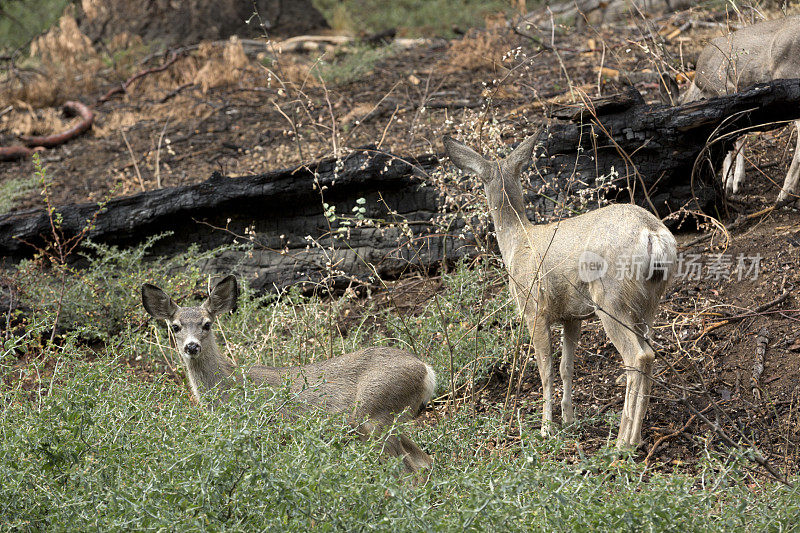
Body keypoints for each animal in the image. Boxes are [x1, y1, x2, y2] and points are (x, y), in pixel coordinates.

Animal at [141, 276, 434, 472]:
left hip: (376, 416)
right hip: (392, 420)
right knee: (425, 462)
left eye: (207, 324)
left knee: (411, 472)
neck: (229, 384)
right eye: (175, 326)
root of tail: (426, 370)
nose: (192, 346)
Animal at [440, 135, 680, 446]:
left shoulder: (534, 310)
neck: (517, 241)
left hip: (610, 298)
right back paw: (636, 438)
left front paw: (546, 427)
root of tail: (652, 234)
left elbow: (546, 369)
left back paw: (621, 442)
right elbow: (567, 367)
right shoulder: (571, 316)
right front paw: (568, 420)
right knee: (650, 352)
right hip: (649, 301)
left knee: (638, 356)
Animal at [680, 14, 800, 203]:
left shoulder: (723, 87)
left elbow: (729, 134)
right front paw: (737, 180)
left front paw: (730, 182)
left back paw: (785, 192)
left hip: (789, 75)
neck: (700, 88)